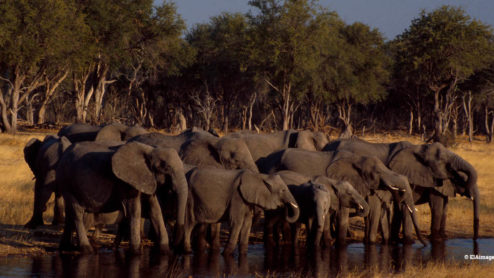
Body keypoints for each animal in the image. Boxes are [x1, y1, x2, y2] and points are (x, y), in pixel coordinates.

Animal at [55, 141, 187, 254]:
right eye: (166, 168)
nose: (174, 246)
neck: (150, 150)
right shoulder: (125, 182)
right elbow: (134, 210)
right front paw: (135, 252)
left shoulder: (148, 179)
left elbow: (155, 210)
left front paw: (165, 251)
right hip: (67, 182)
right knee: (76, 212)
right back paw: (87, 250)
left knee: (70, 213)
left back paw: (66, 248)